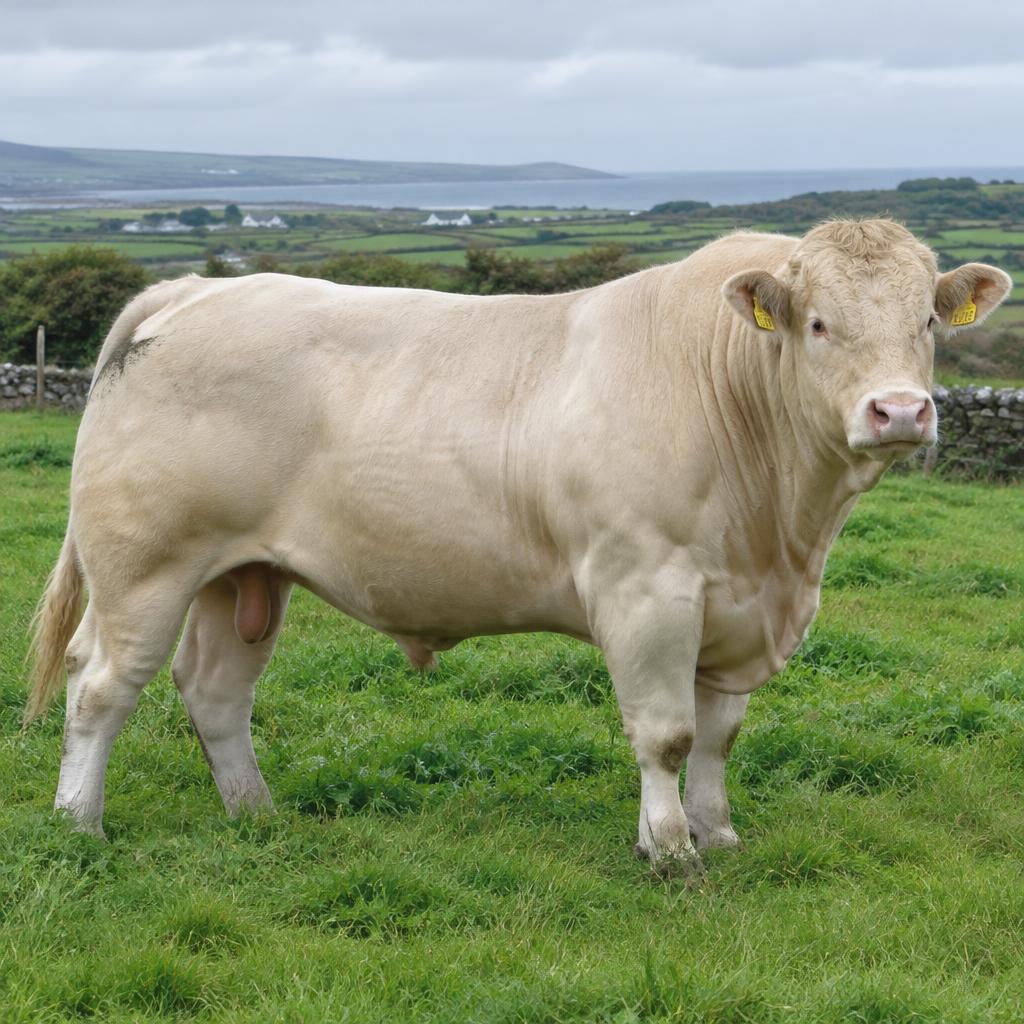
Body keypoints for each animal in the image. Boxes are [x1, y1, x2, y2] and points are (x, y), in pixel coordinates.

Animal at [26, 219, 1011, 875]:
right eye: (816, 324)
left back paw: (258, 816)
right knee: (100, 686)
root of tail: (192, 289)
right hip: (145, 564)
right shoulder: (646, 587)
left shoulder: (738, 605)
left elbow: (719, 736)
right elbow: (665, 734)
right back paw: (79, 825)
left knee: (216, 691)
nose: (900, 412)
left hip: (243, 576)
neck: (783, 535)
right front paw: (672, 851)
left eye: (928, 323)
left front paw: (718, 832)